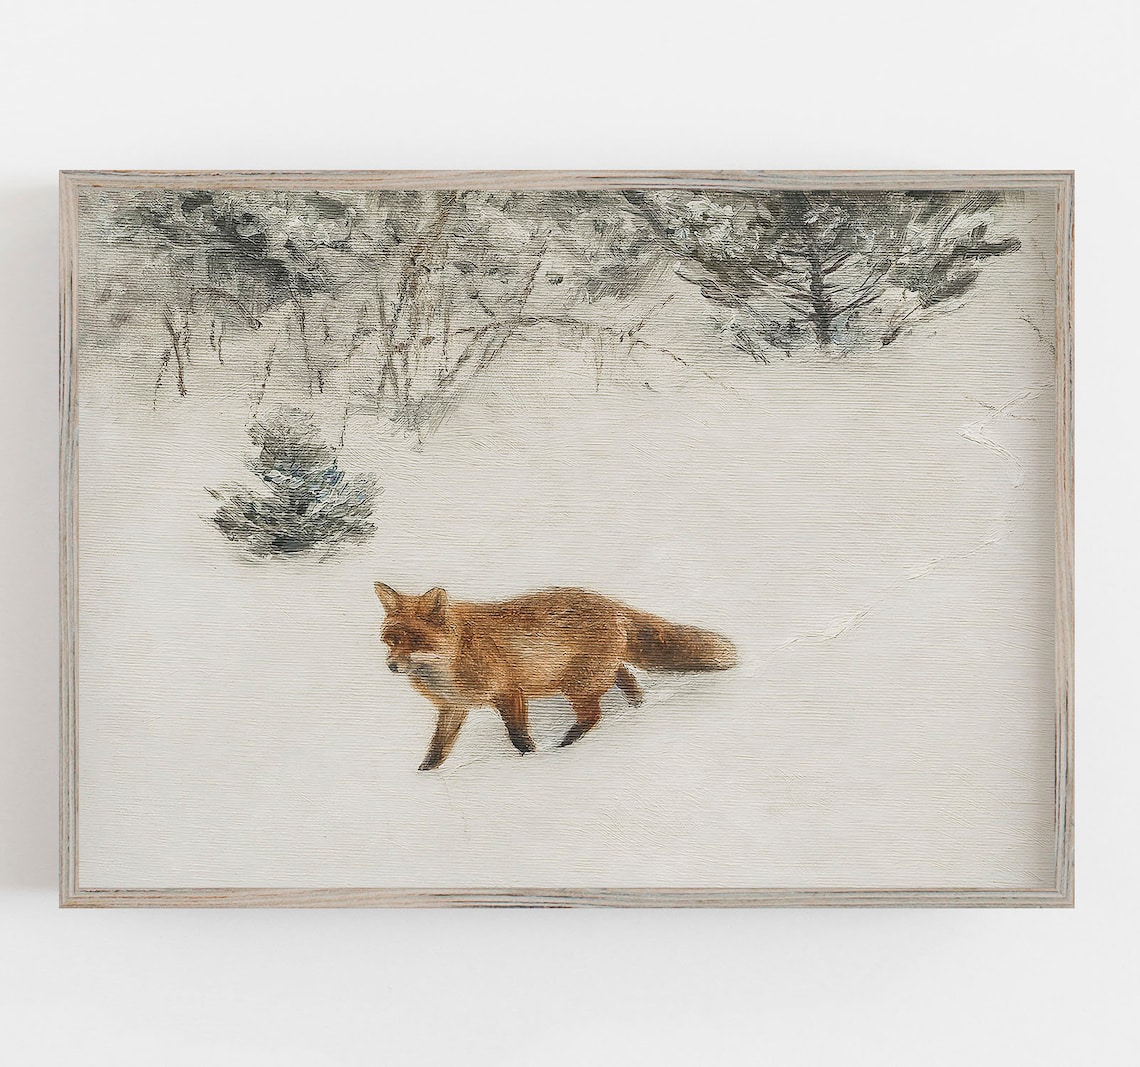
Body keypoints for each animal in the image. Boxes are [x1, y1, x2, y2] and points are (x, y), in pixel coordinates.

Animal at [374, 583, 737, 770]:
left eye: (415, 641)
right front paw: (424, 776)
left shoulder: (509, 692)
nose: (391, 665)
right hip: (591, 676)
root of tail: (610, 602)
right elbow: (437, 749)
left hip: (577, 685)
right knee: (625, 677)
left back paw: (566, 745)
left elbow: (519, 737)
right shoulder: (453, 708)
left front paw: (532, 761)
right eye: (390, 639)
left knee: (594, 715)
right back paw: (638, 708)